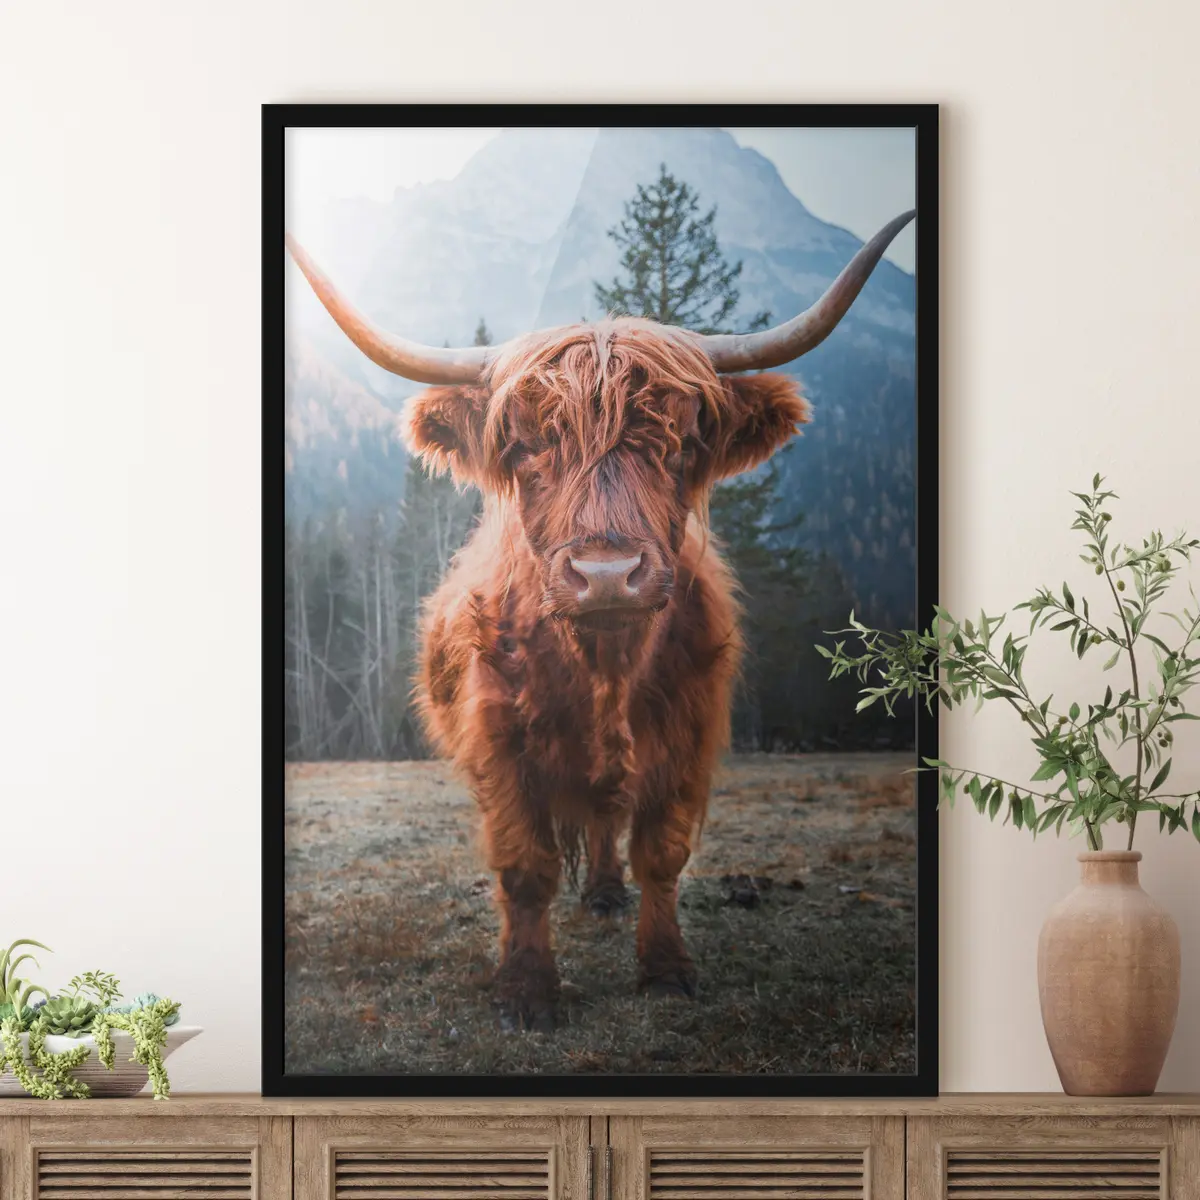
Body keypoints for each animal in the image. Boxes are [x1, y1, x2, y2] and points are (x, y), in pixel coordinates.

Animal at [286, 209, 913, 1030]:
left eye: (682, 443)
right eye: (524, 445)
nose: (607, 575)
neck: (604, 668)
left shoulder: (688, 734)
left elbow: (661, 853)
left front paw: (666, 969)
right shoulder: (499, 741)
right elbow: (525, 866)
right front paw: (525, 989)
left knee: (606, 819)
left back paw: (608, 894)